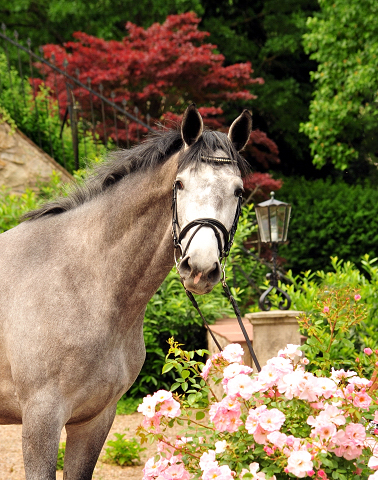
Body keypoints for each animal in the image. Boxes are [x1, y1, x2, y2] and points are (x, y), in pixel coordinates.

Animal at [0, 106, 252, 480]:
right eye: (180, 184)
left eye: (238, 191)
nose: (200, 268)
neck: (84, 282)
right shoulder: (40, 419)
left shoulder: (95, 419)